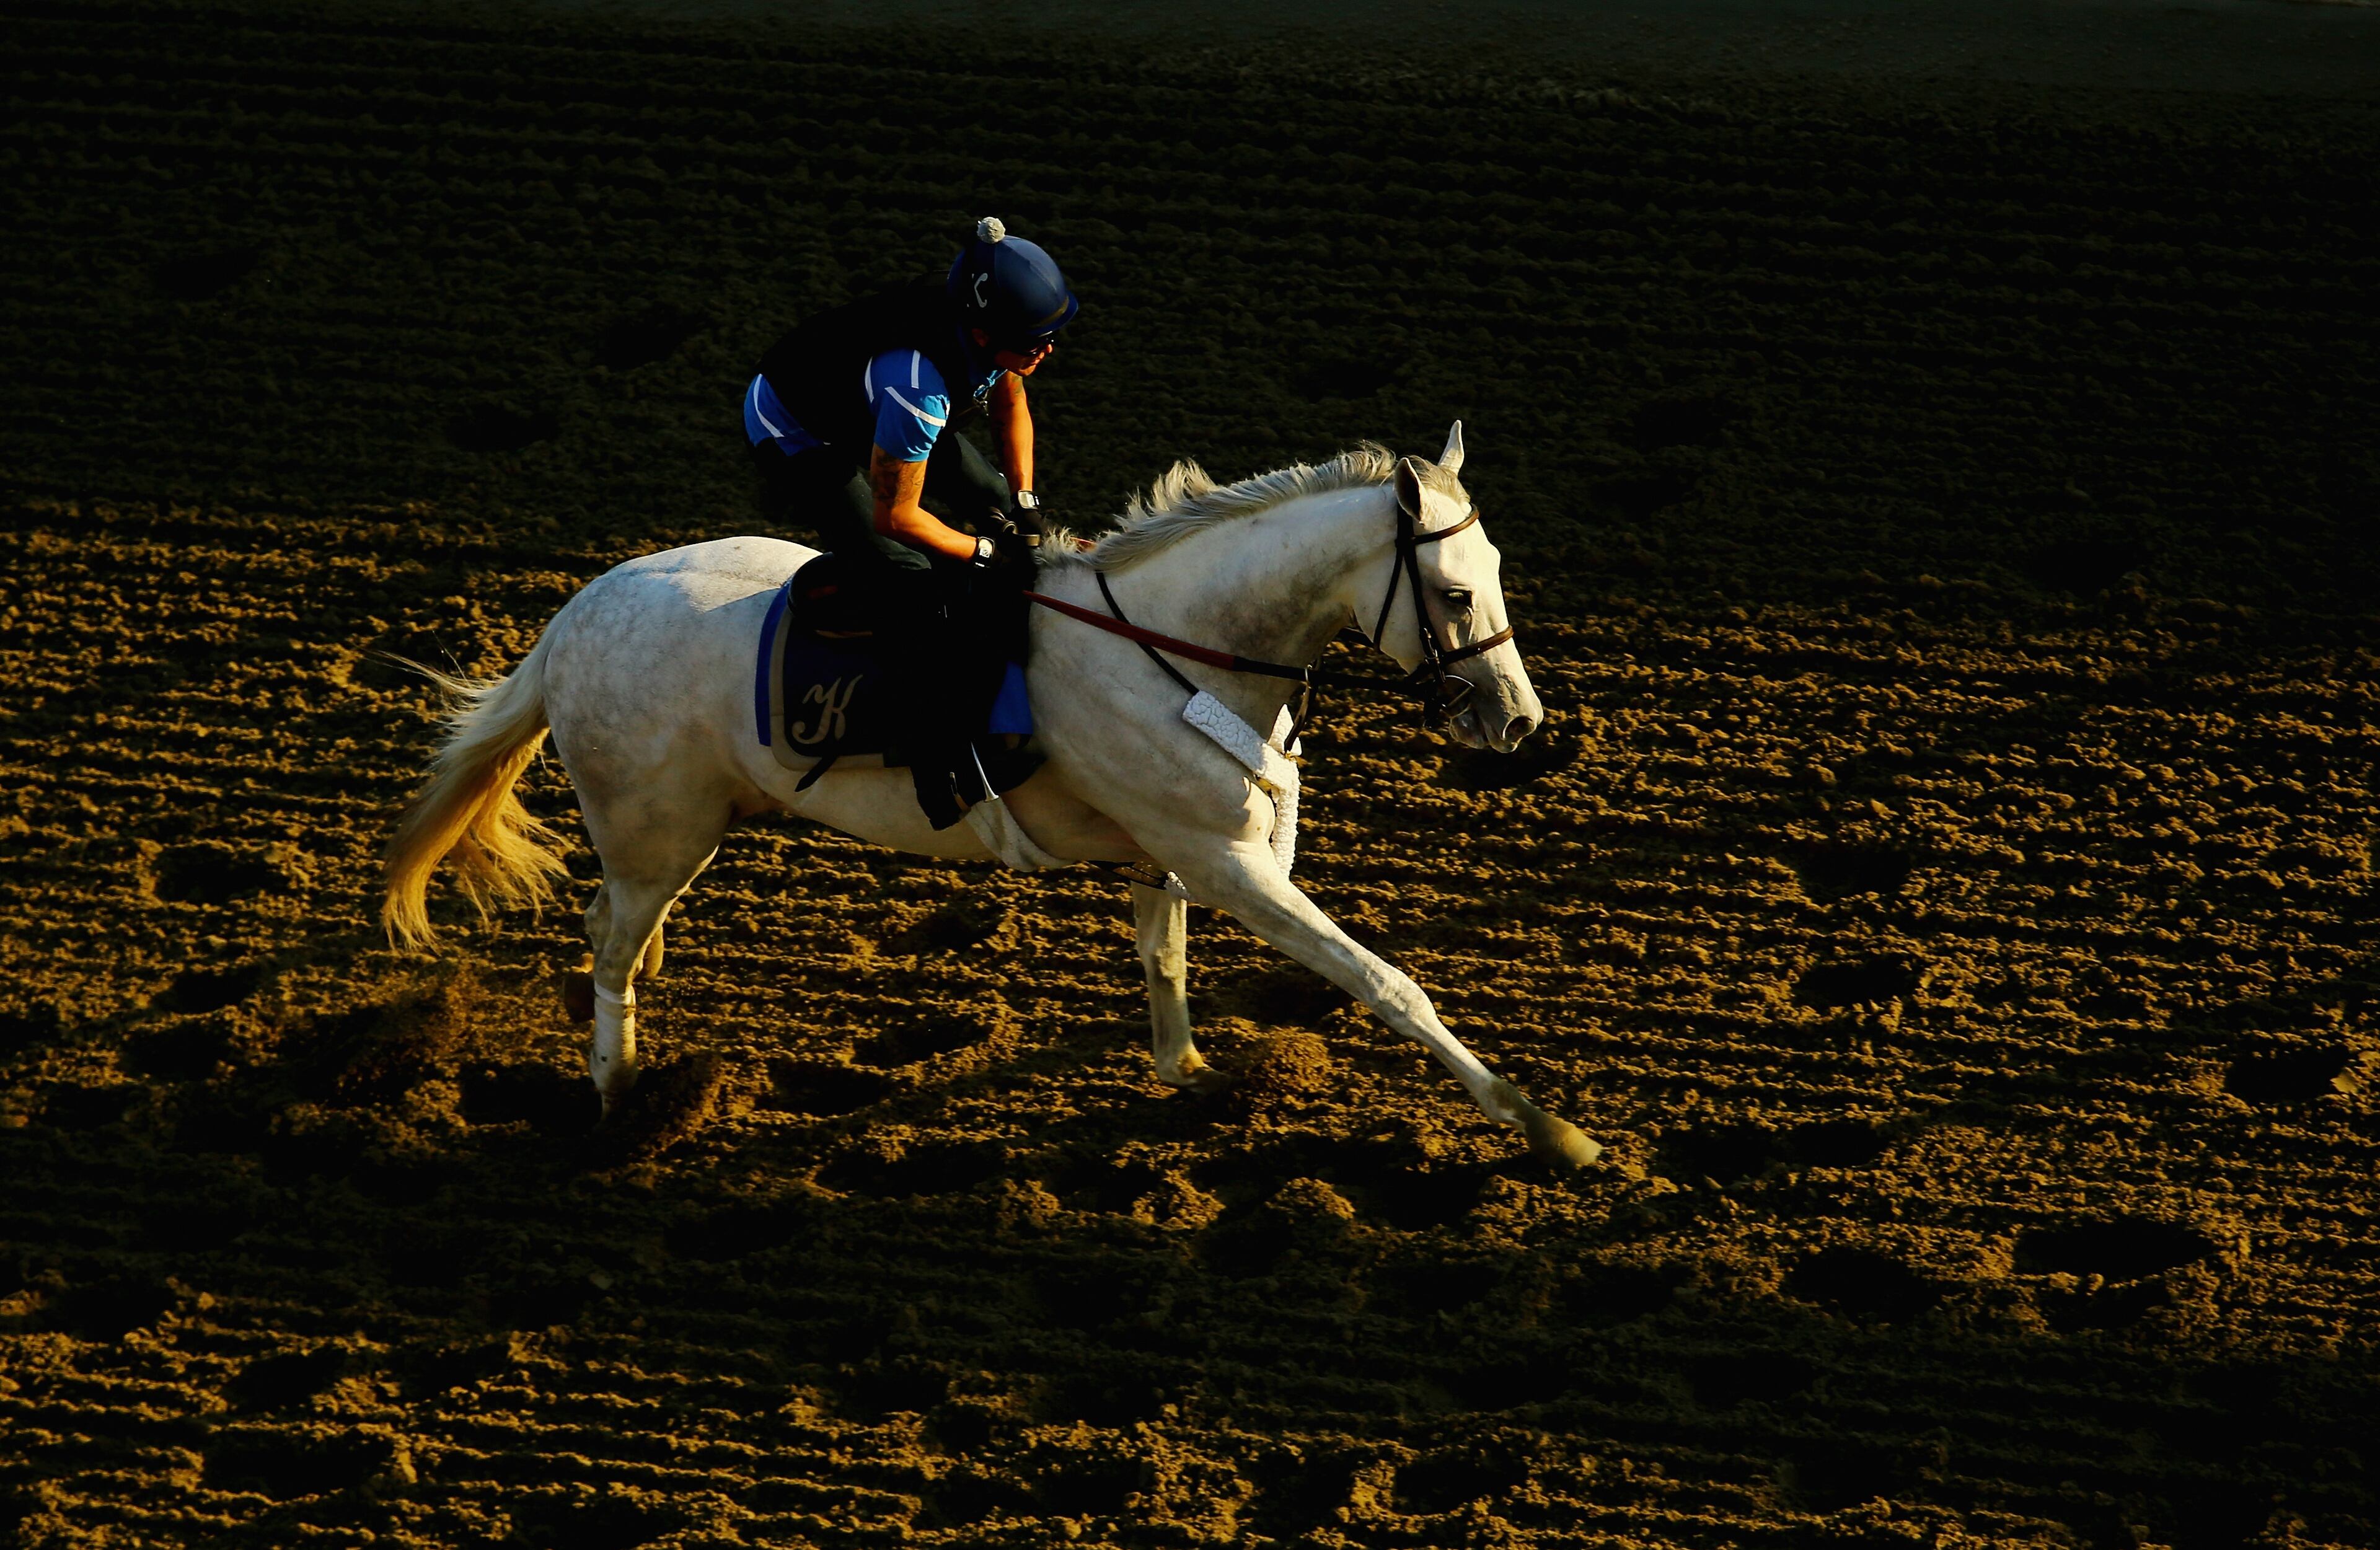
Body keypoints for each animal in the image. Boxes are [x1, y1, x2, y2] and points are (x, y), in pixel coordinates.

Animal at [381, 424, 1600, 1169]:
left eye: (1499, 575)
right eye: (1454, 593)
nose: (1519, 723)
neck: (1179, 648)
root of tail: (565, 622)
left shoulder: (1176, 851)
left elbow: (1164, 959)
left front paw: (1191, 1075)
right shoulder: (1230, 864)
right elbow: (1386, 982)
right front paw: (1545, 1125)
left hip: (678, 834)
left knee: (623, 937)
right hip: (654, 834)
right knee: (608, 939)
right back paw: (623, 1094)